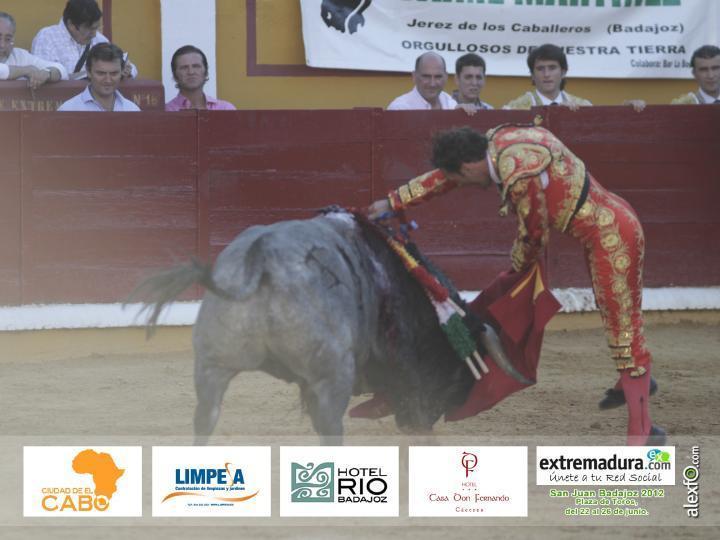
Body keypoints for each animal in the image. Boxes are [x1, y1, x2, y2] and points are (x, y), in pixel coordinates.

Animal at [141, 210, 524, 442]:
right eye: (460, 375)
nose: (427, 423)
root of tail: (261, 261)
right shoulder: (405, 366)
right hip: (332, 374)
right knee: (329, 427)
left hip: (212, 363)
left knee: (205, 418)